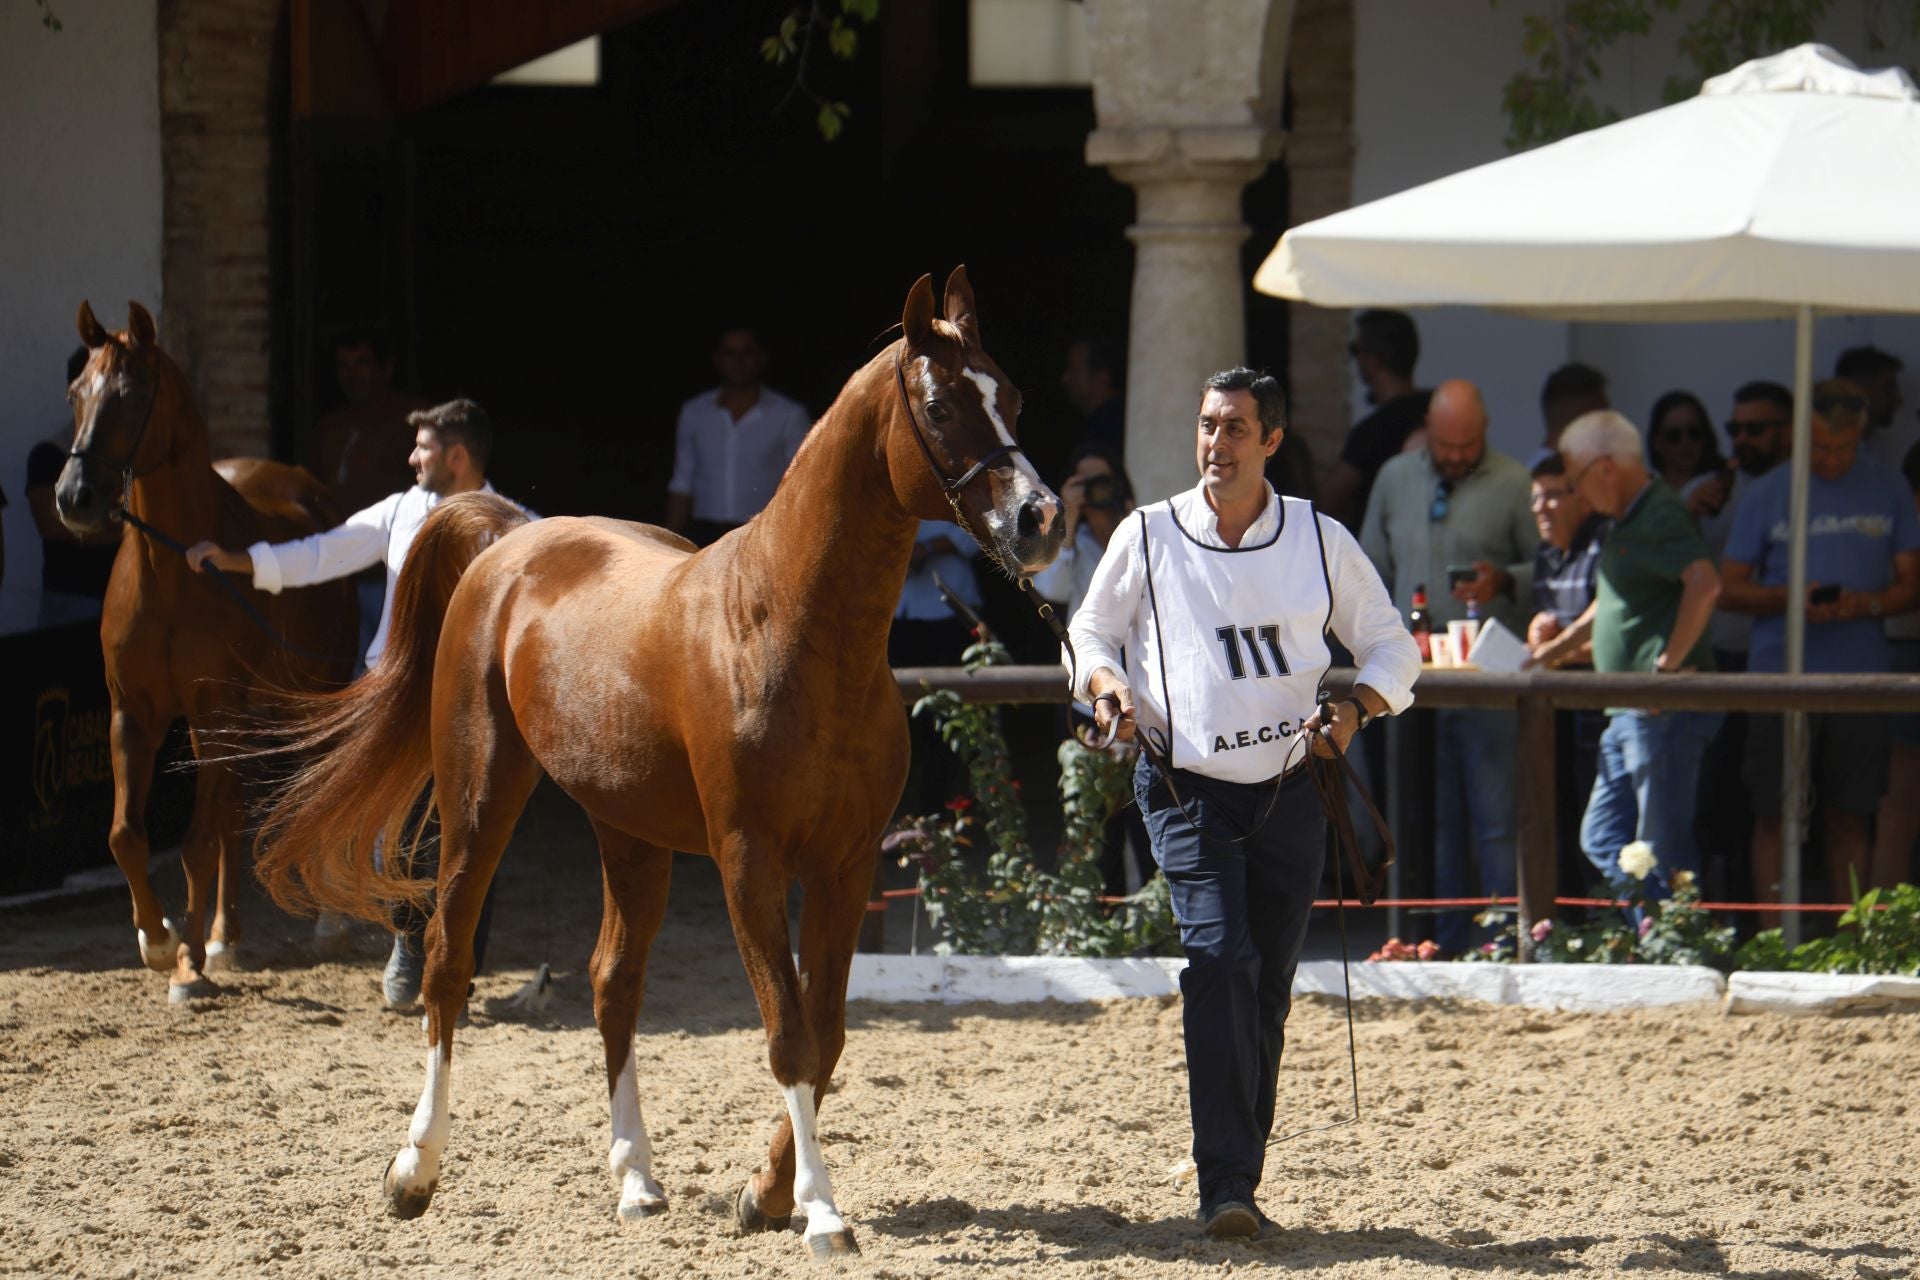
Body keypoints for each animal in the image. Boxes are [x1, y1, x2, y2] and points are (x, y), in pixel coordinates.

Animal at [55, 300, 358, 1002]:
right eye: (76, 392)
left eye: (131, 394)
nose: (74, 497)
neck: (171, 571)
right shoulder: (134, 714)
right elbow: (126, 835)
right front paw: (160, 938)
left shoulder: (216, 707)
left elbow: (193, 843)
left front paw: (186, 964)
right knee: (231, 815)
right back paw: (224, 936)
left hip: (307, 697)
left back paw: (322, 924)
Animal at [250, 268, 1062, 1260]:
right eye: (942, 405)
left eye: (1012, 396)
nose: (1039, 520)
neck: (784, 629)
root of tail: (509, 543)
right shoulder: (749, 862)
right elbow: (789, 1033)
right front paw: (821, 1212)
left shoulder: (846, 863)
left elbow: (828, 1032)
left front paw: (764, 1194)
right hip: (479, 796)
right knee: (447, 960)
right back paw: (415, 1170)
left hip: (626, 831)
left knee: (613, 983)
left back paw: (637, 1180)